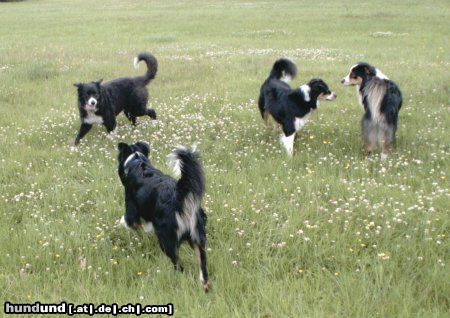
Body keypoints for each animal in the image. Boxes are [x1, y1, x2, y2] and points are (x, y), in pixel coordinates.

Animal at [115, 143, 208, 292]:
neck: (136, 160)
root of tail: (178, 198)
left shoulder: (131, 209)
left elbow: (126, 221)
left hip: (166, 240)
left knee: (178, 265)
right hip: (198, 238)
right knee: (202, 265)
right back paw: (204, 283)